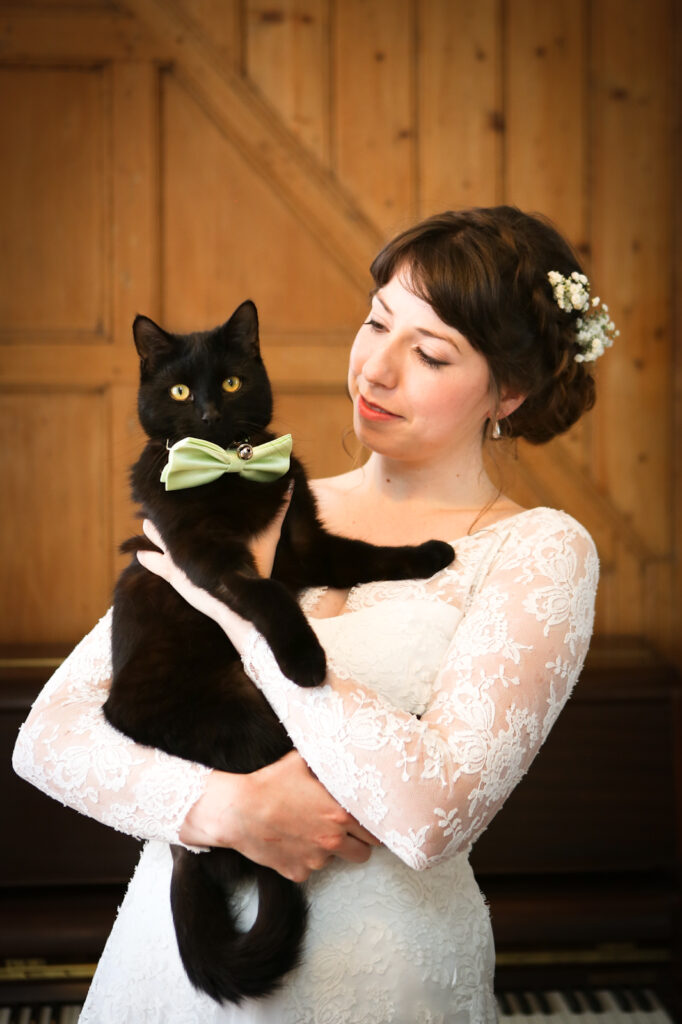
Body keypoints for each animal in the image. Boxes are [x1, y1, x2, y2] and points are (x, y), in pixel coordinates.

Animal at [103, 299, 454, 1003]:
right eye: (179, 392)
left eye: (231, 382)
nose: (209, 412)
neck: (232, 466)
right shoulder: (211, 560)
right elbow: (268, 594)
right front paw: (306, 662)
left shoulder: (306, 543)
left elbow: (366, 555)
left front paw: (430, 553)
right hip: (242, 716)